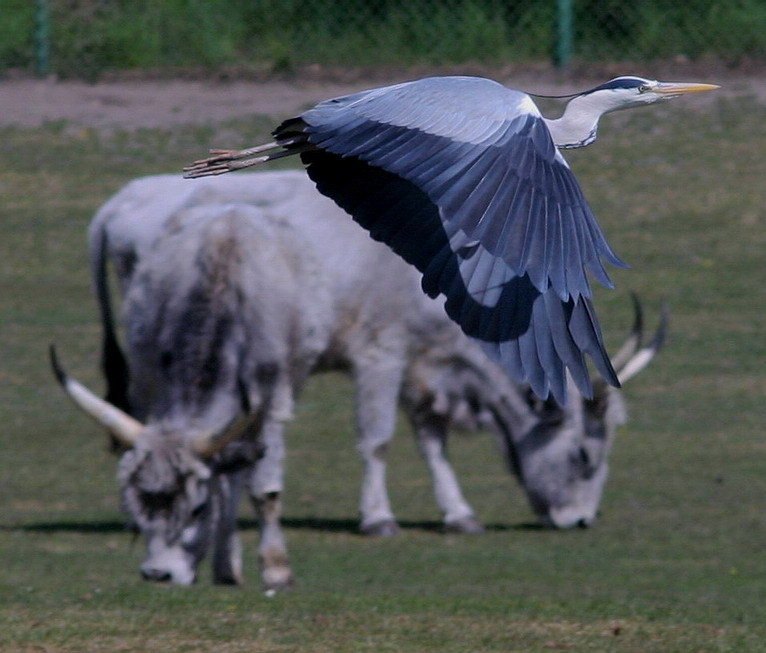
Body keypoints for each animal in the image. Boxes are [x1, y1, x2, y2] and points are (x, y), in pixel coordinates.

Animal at [55, 171, 664, 588]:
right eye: (585, 456)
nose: (580, 521)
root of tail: (121, 201)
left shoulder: (422, 366)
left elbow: (431, 441)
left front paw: (458, 513)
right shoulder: (381, 353)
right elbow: (379, 440)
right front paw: (378, 518)